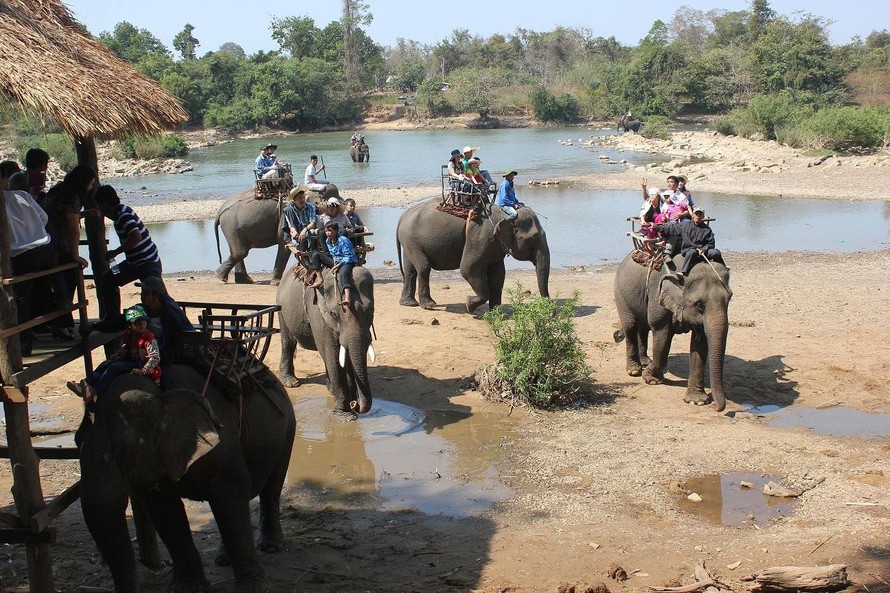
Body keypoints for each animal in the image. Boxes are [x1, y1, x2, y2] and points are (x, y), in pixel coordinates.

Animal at [73, 364, 294, 588]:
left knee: (271, 486)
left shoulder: (223, 443)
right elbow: (165, 511)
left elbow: (231, 493)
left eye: (124, 451)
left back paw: (270, 546)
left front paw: (254, 587)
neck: (159, 393)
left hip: (288, 428)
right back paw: (224, 559)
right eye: (76, 441)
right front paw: (188, 587)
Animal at [213, 186, 342, 286]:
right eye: (318, 206)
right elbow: (284, 243)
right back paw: (221, 277)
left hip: (233, 228)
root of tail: (220, 210)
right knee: (240, 252)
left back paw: (242, 280)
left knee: (237, 251)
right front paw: (276, 283)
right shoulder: (284, 216)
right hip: (231, 225)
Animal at [278, 264, 374, 416]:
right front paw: (344, 415)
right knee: (288, 342)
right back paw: (291, 383)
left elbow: (344, 357)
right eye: (334, 314)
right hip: (282, 308)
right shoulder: (318, 312)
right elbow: (333, 355)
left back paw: (330, 388)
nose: (355, 404)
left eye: (370, 310)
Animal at [396, 198, 548, 312]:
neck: (505, 214)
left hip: (409, 242)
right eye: (532, 239)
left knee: (410, 270)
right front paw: (469, 305)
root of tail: (403, 216)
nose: (549, 310)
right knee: (424, 267)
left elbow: (498, 274)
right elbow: (469, 269)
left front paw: (495, 313)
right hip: (412, 240)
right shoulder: (480, 237)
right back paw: (429, 305)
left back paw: (409, 303)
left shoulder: (495, 246)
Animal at [612, 251, 732, 412]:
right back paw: (634, 371)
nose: (716, 408)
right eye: (699, 304)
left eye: (729, 299)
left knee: (643, 327)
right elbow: (662, 335)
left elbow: (700, 344)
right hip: (620, 292)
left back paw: (645, 362)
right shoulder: (657, 294)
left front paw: (696, 402)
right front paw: (651, 379)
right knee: (631, 325)